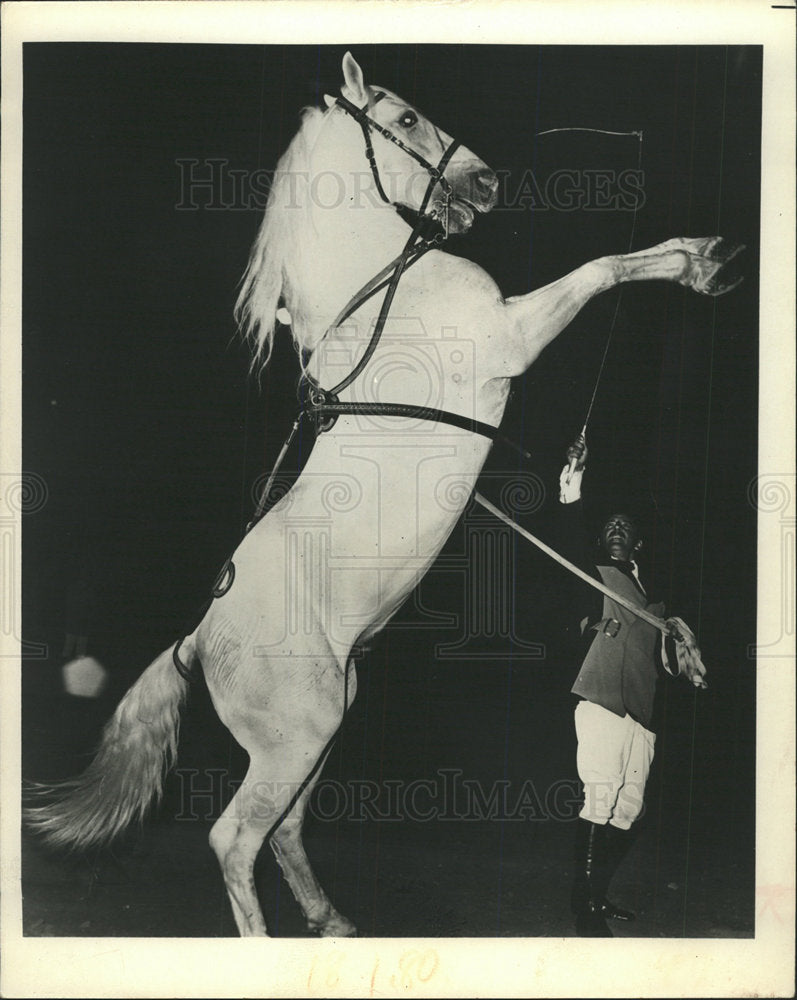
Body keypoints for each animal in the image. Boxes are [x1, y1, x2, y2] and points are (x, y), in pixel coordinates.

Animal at [26, 48, 748, 936]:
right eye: (403, 118)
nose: (484, 182)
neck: (385, 293)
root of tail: (195, 638)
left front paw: (705, 254)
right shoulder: (513, 334)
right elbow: (602, 268)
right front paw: (703, 263)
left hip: (320, 734)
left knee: (285, 828)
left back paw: (333, 920)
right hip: (297, 738)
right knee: (234, 838)